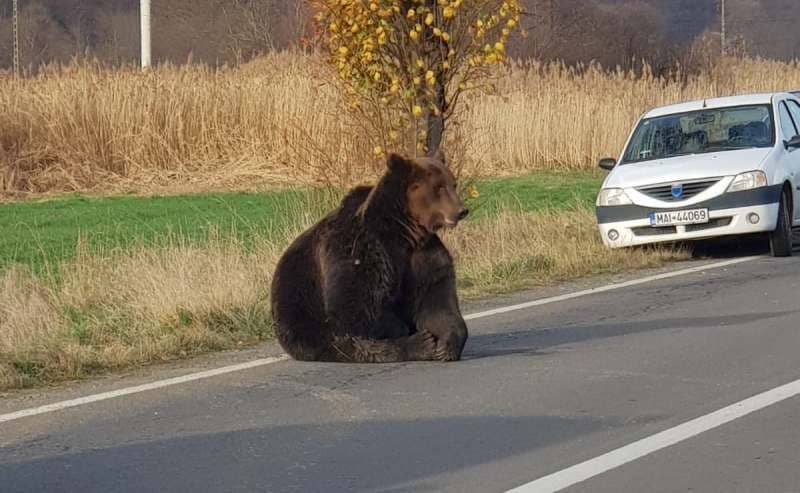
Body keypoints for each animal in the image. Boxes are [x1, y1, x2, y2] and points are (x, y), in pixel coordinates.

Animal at [270, 150, 470, 363]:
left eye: (453, 183)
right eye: (438, 187)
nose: (461, 210)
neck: (404, 233)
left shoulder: (424, 257)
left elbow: (436, 300)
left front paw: (446, 346)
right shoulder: (359, 249)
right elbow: (354, 309)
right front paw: (422, 339)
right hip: (301, 315)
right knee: (350, 343)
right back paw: (418, 344)